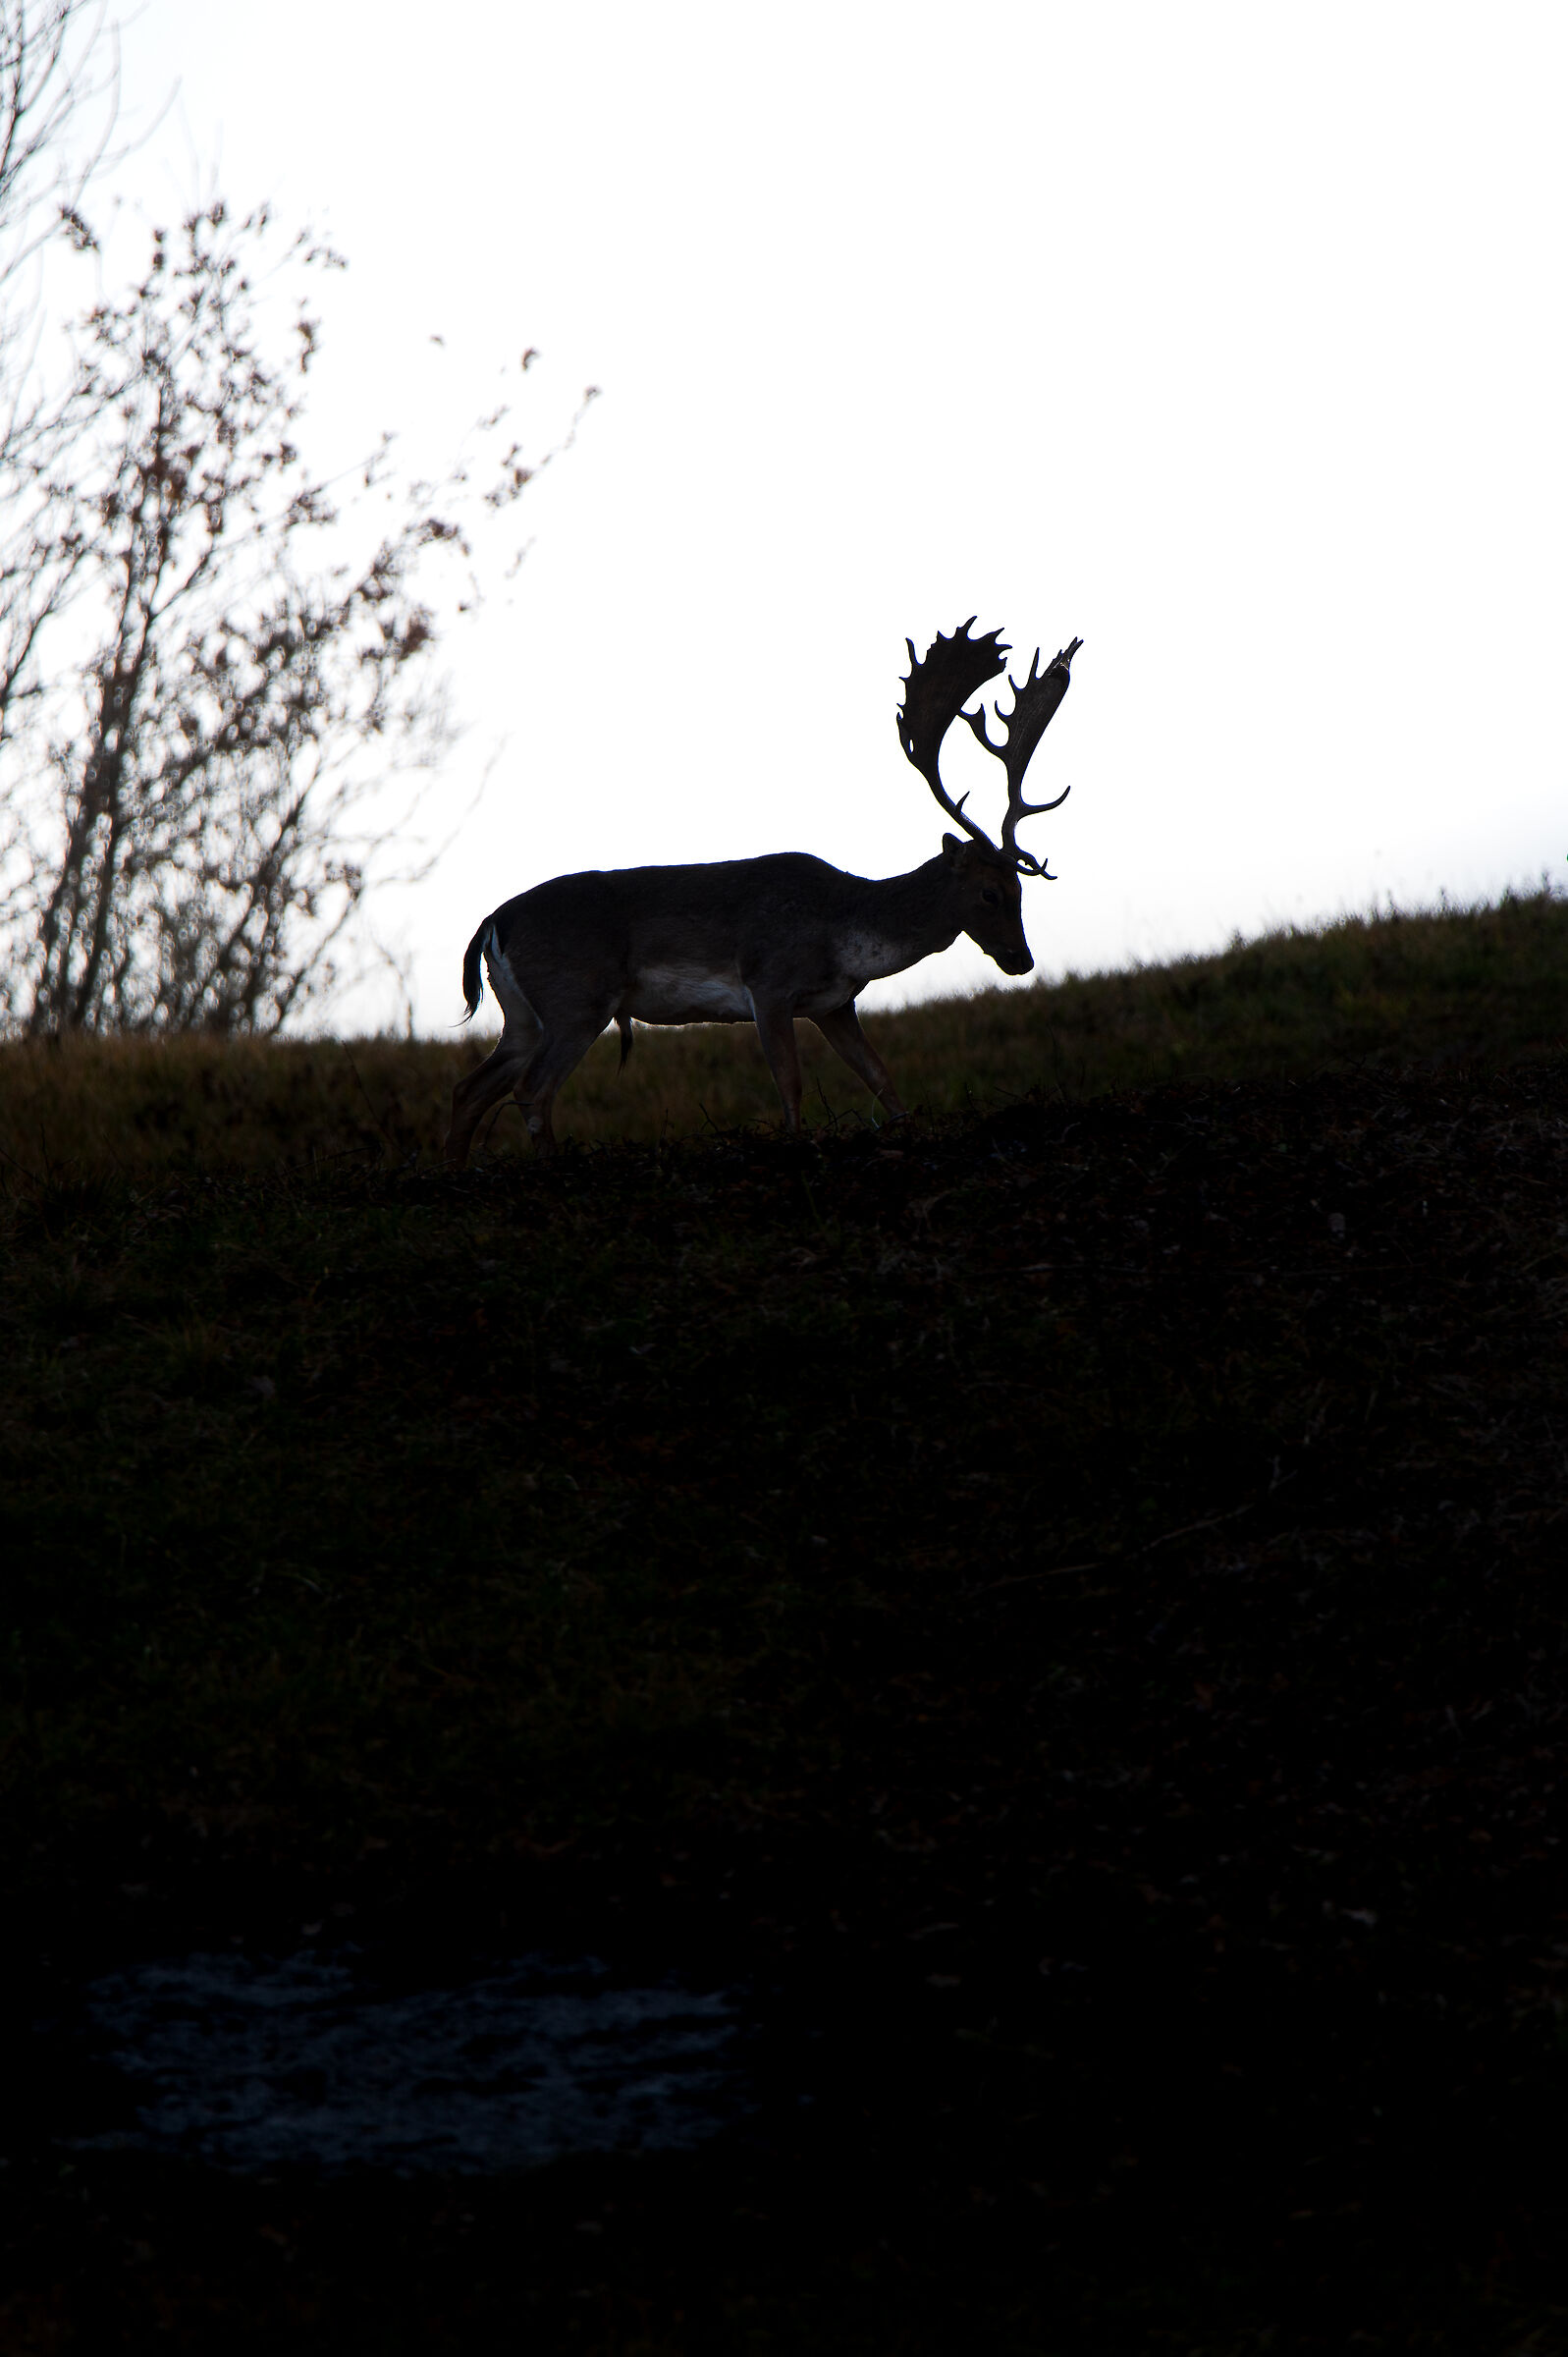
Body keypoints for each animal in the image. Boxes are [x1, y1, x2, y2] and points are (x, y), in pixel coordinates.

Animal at [443, 619, 1083, 1166]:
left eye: (1021, 887)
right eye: (989, 894)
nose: (1021, 960)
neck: (844, 932)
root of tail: (491, 924)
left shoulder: (833, 1004)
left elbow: (881, 1077)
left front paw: (908, 1131)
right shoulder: (768, 982)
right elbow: (791, 1084)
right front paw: (798, 1144)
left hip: (524, 1013)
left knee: (471, 1087)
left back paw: (456, 1168)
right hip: (577, 996)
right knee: (532, 1087)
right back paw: (547, 1163)